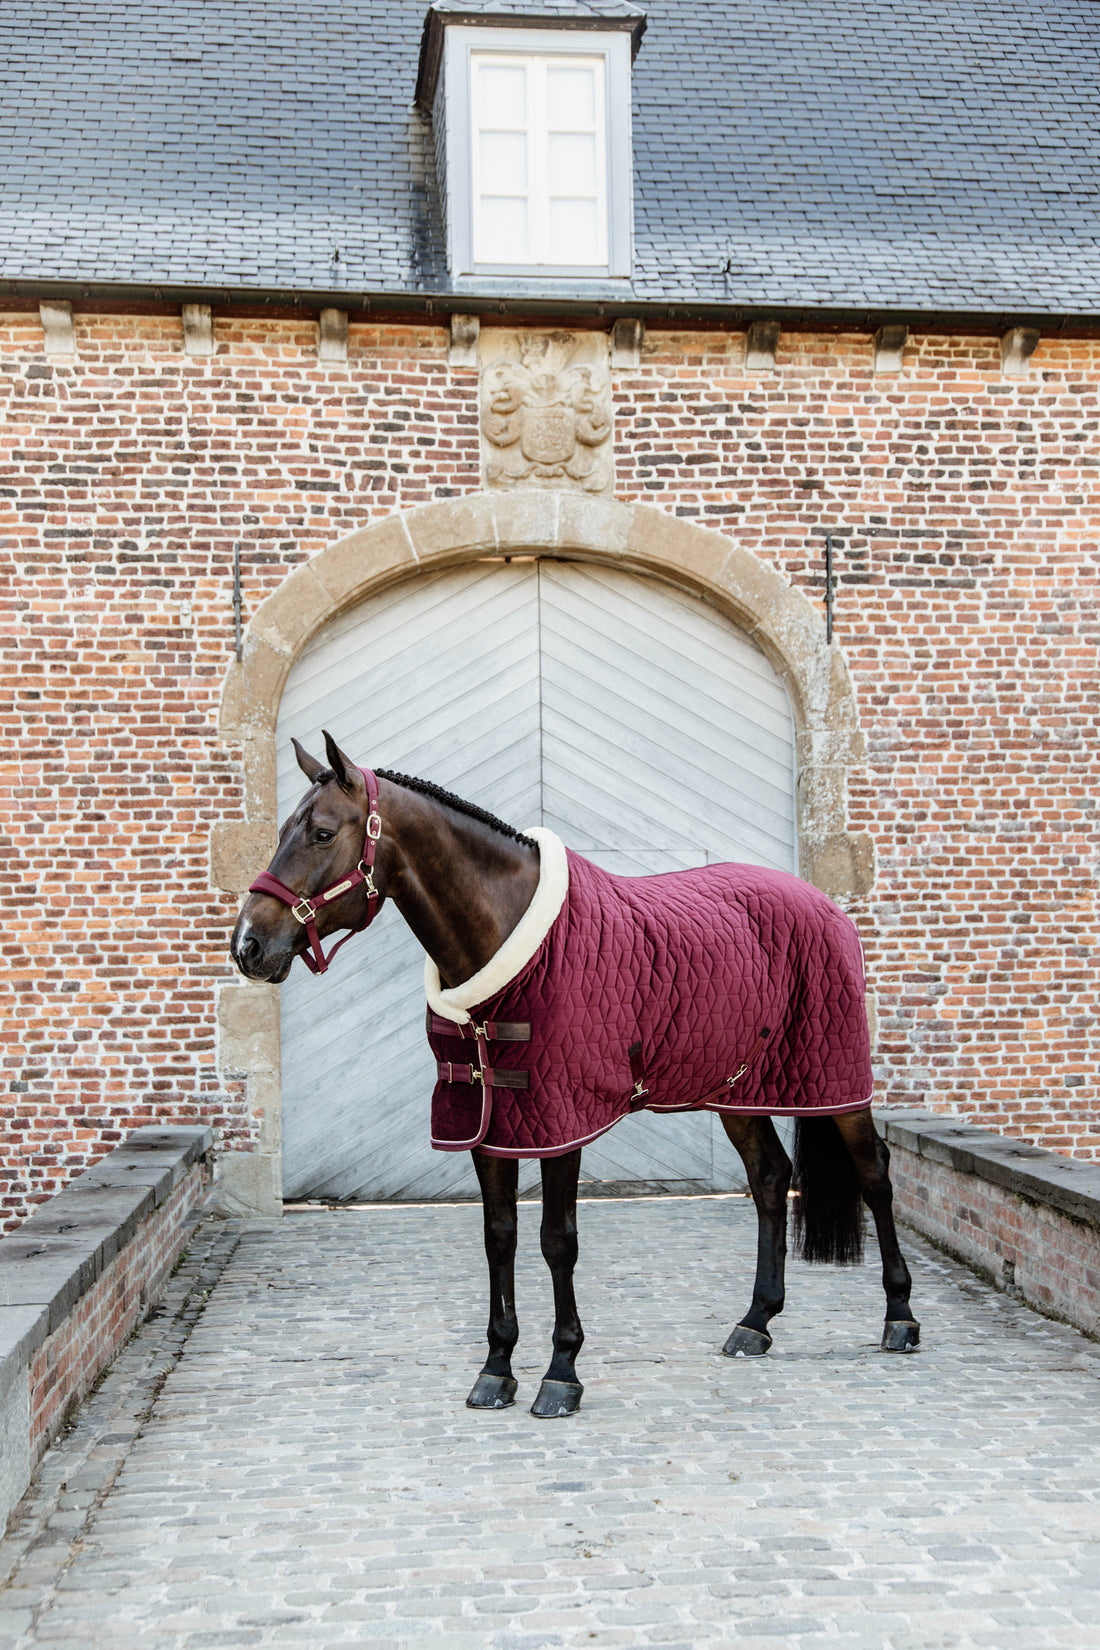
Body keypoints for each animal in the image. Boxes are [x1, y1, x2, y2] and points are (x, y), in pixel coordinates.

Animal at [232, 735, 923, 1419]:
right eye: (282, 830)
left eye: (322, 833)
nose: (248, 946)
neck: (505, 938)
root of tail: (825, 906)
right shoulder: (488, 1123)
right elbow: (500, 1238)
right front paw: (496, 1369)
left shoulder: (560, 1121)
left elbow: (556, 1241)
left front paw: (561, 1373)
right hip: (736, 1088)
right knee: (771, 1178)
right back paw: (755, 1322)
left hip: (835, 1082)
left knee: (874, 1176)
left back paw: (900, 1317)